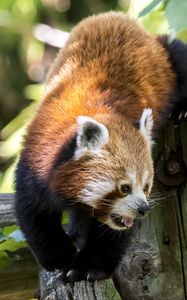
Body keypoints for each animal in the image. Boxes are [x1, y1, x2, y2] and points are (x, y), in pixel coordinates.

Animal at [15, 11, 186, 282]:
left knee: (179, 54)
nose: (143, 209)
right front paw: (60, 257)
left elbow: (113, 235)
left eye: (146, 187)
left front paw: (86, 267)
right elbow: (34, 214)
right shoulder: (36, 159)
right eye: (124, 187)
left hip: (167, 55)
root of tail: (113, 15)